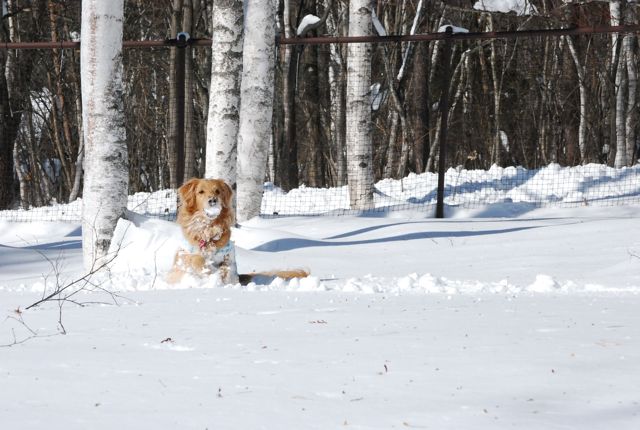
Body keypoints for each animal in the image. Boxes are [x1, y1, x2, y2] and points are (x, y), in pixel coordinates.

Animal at [166, 178, 308, 286]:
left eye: (217, 191)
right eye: (200, 192)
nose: (213, 200)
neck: (208, 230)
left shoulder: (229, 258)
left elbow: (225, 269)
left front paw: (217, 275)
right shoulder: (182, 259)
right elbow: (196, 259)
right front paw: (208, 269)